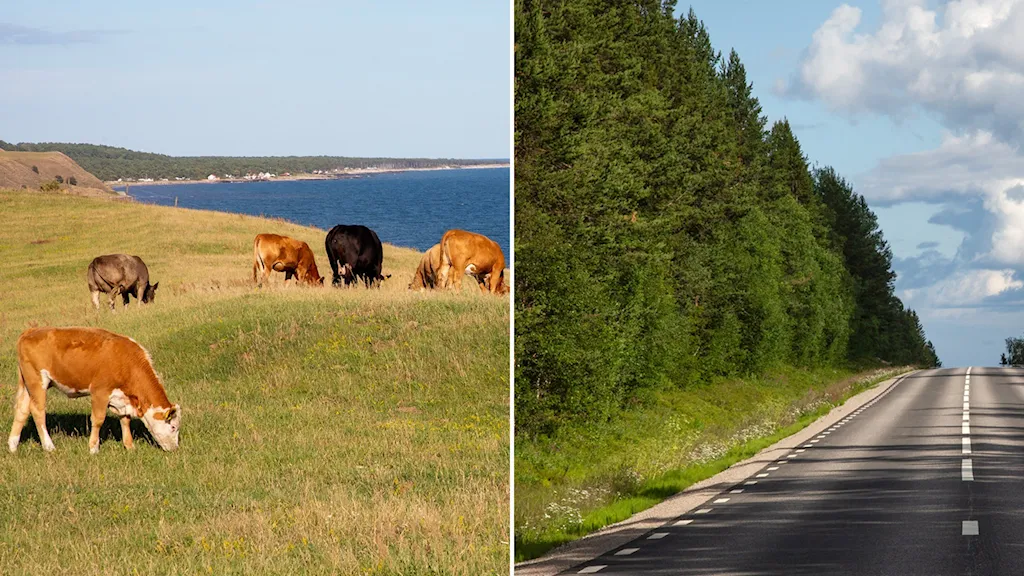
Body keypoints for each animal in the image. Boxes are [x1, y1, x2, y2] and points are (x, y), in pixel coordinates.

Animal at [10, 325, 182, 450]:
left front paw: (130, 446)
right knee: (37, 411)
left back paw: (12, 446)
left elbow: (125, 420)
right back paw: (49, 446)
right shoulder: (100, 392)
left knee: (22, 410)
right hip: (37, 382)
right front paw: (93, 448)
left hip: (27, 384)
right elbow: (98, 420)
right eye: (173, 427)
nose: (175, 448)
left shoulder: (121, 397)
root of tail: (31, 331)